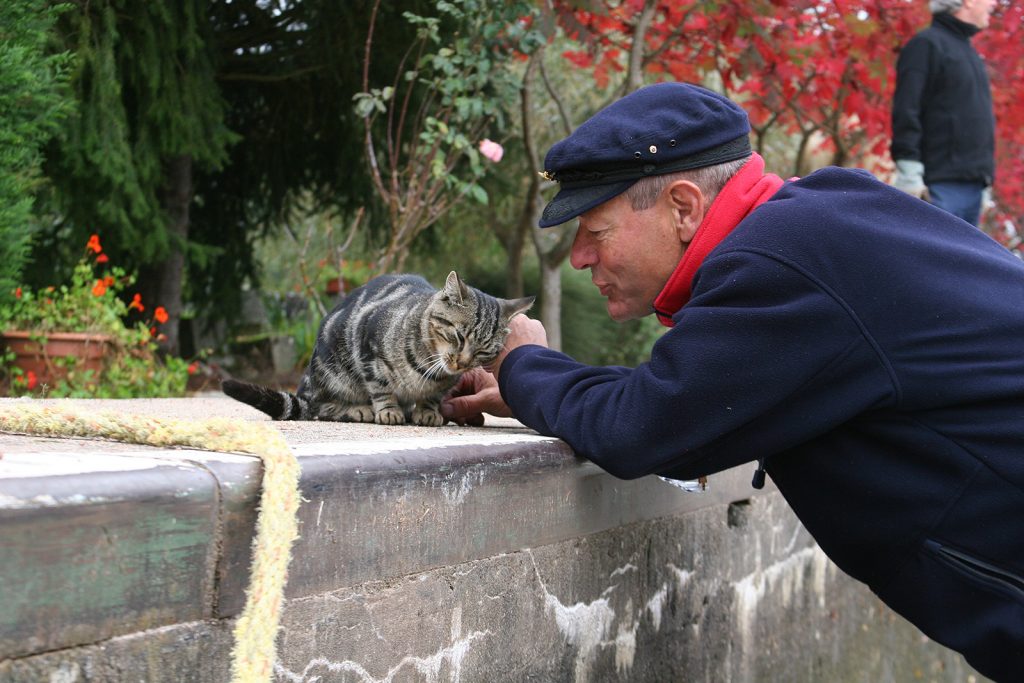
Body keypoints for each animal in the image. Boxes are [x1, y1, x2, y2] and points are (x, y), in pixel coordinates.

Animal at [220, 270, 532, 423]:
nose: (462, 363)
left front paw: (427, 411)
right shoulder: (367, 344)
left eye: (483, 350)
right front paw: (389, 410)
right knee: (321, 406)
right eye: (458, 336)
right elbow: (381, 386)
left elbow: (433, 396)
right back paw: (359, 409)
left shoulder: (446, 384)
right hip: (332, 370)